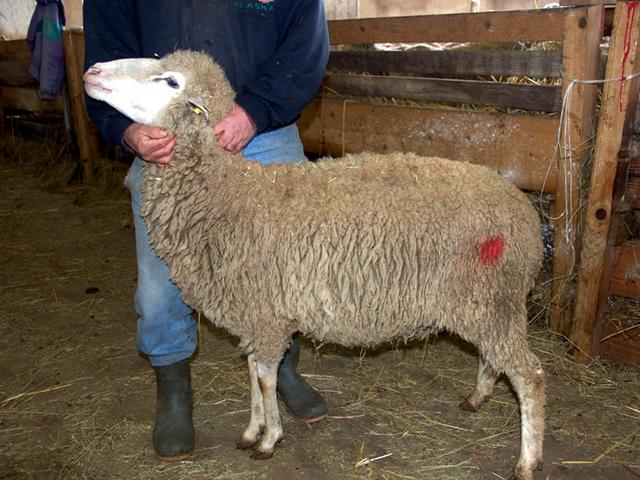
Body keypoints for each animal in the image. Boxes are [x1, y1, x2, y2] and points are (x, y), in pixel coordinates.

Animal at [84, 50, 545, 480]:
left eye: (170, 81)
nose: (92, 71)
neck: (226, 194)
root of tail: (523, 209)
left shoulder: (266, 315)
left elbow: (266, 378)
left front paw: (269, 439)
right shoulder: (255, 314)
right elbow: (252, 371)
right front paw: (252, 429)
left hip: (490, 299)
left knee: (530, 376)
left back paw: (527, 461)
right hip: (488, 305)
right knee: (494, 358)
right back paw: (477, 398)